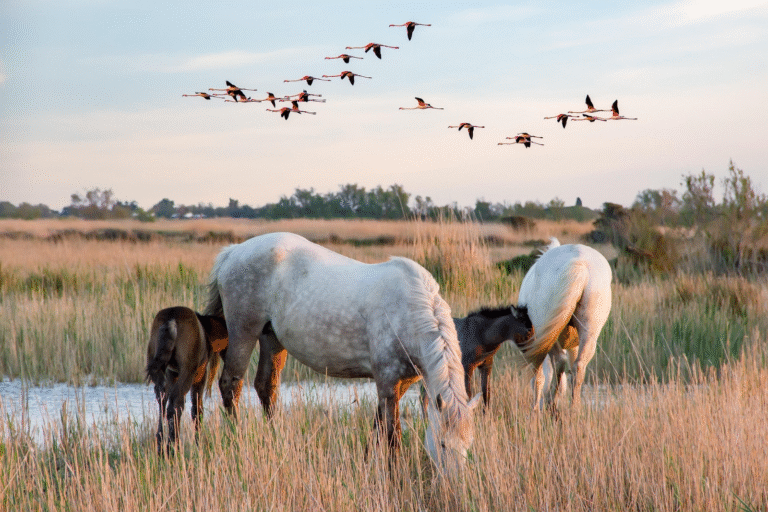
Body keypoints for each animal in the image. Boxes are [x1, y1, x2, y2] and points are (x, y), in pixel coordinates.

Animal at [145, 306, 228, 453]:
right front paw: (198, 443)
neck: (208, 332)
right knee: (176, 404)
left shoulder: (172, 373)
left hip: (158, 367)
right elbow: (197, 409)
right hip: (188, 370)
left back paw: (161, 445)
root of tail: (171, 320)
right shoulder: (200, 374)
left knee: (163, 401)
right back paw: (173, 446)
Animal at [204, 232, 480, 471]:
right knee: (231, 385)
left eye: (468, 446)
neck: (409, 311)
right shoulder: (388, 381)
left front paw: (368, 462)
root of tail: (233, 252)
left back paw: (276, 441)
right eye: (442, 444)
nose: (454, 487)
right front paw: (394, 473)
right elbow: (392, 432)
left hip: (271, 338)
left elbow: (378, 423)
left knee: (266, 387)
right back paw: (237, 440)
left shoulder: (399, 383)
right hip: (243, 331)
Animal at [516, 238, 612, 411]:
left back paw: (551, 402)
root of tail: (580, 264)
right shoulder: (573, 345)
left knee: (559, 361)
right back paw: (574, 408)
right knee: (578, 367)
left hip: (546, 332)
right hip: (589, 332)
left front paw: (535, 408)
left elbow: (539, 378)